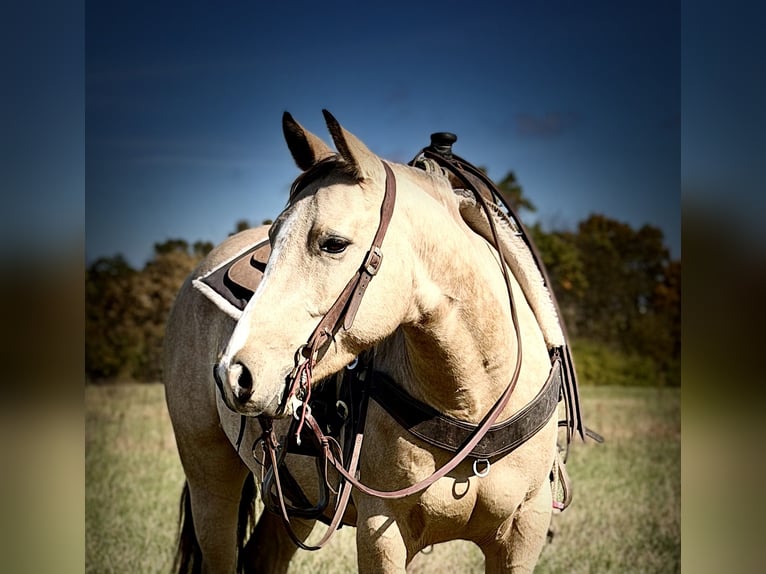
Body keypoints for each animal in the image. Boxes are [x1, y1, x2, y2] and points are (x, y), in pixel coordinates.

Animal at [164, 110, 582, 573]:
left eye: (333, 243)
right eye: (272, 240)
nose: (235, 374)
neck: (474, 401)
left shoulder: (522, 533)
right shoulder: (382, 531)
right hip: (210, 479)